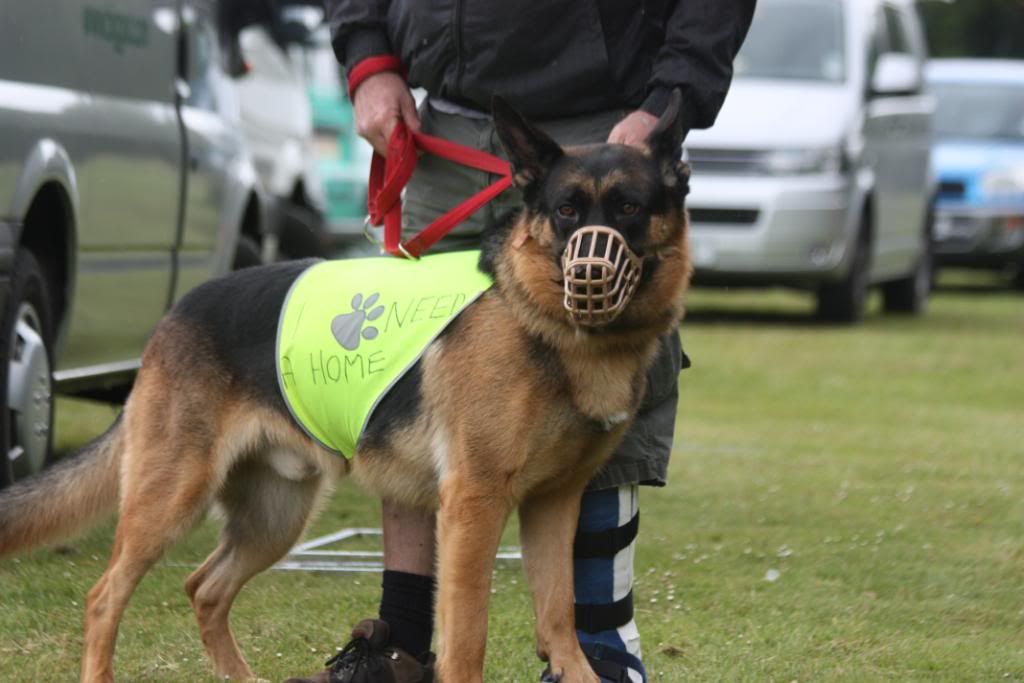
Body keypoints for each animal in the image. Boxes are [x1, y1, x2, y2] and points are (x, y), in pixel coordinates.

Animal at [0, 92, 692, 683]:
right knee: (104, 596)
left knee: (204, 588)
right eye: (566, 211)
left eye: (629, 208)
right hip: (172, 499)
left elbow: (560, 618)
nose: (589, 273)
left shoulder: (555, 503)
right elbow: (468, 636)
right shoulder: (474, 505)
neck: (544, 322)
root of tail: (177, 312)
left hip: (275, 516)